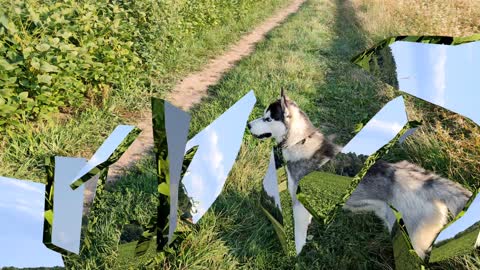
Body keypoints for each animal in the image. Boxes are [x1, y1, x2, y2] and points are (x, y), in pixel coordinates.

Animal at [248, 88, 472, 258]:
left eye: (267, 118)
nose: (249, 124)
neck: (299, 142)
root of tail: (428, 181)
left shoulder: (299, 206)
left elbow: (299, 236)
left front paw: (295, 255)